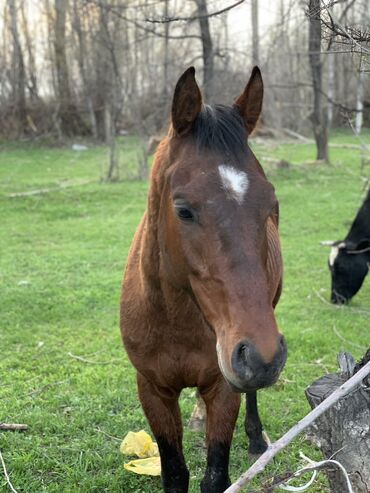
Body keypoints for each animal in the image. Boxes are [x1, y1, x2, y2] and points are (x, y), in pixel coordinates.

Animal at [120, 66, 288, 492]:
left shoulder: (224, 389)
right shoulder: (153, 391)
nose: (260, 357)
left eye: (271, 203)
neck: (174, 318)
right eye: (183, 210)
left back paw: (256, 437)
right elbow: (175, 472)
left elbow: (215, 477)